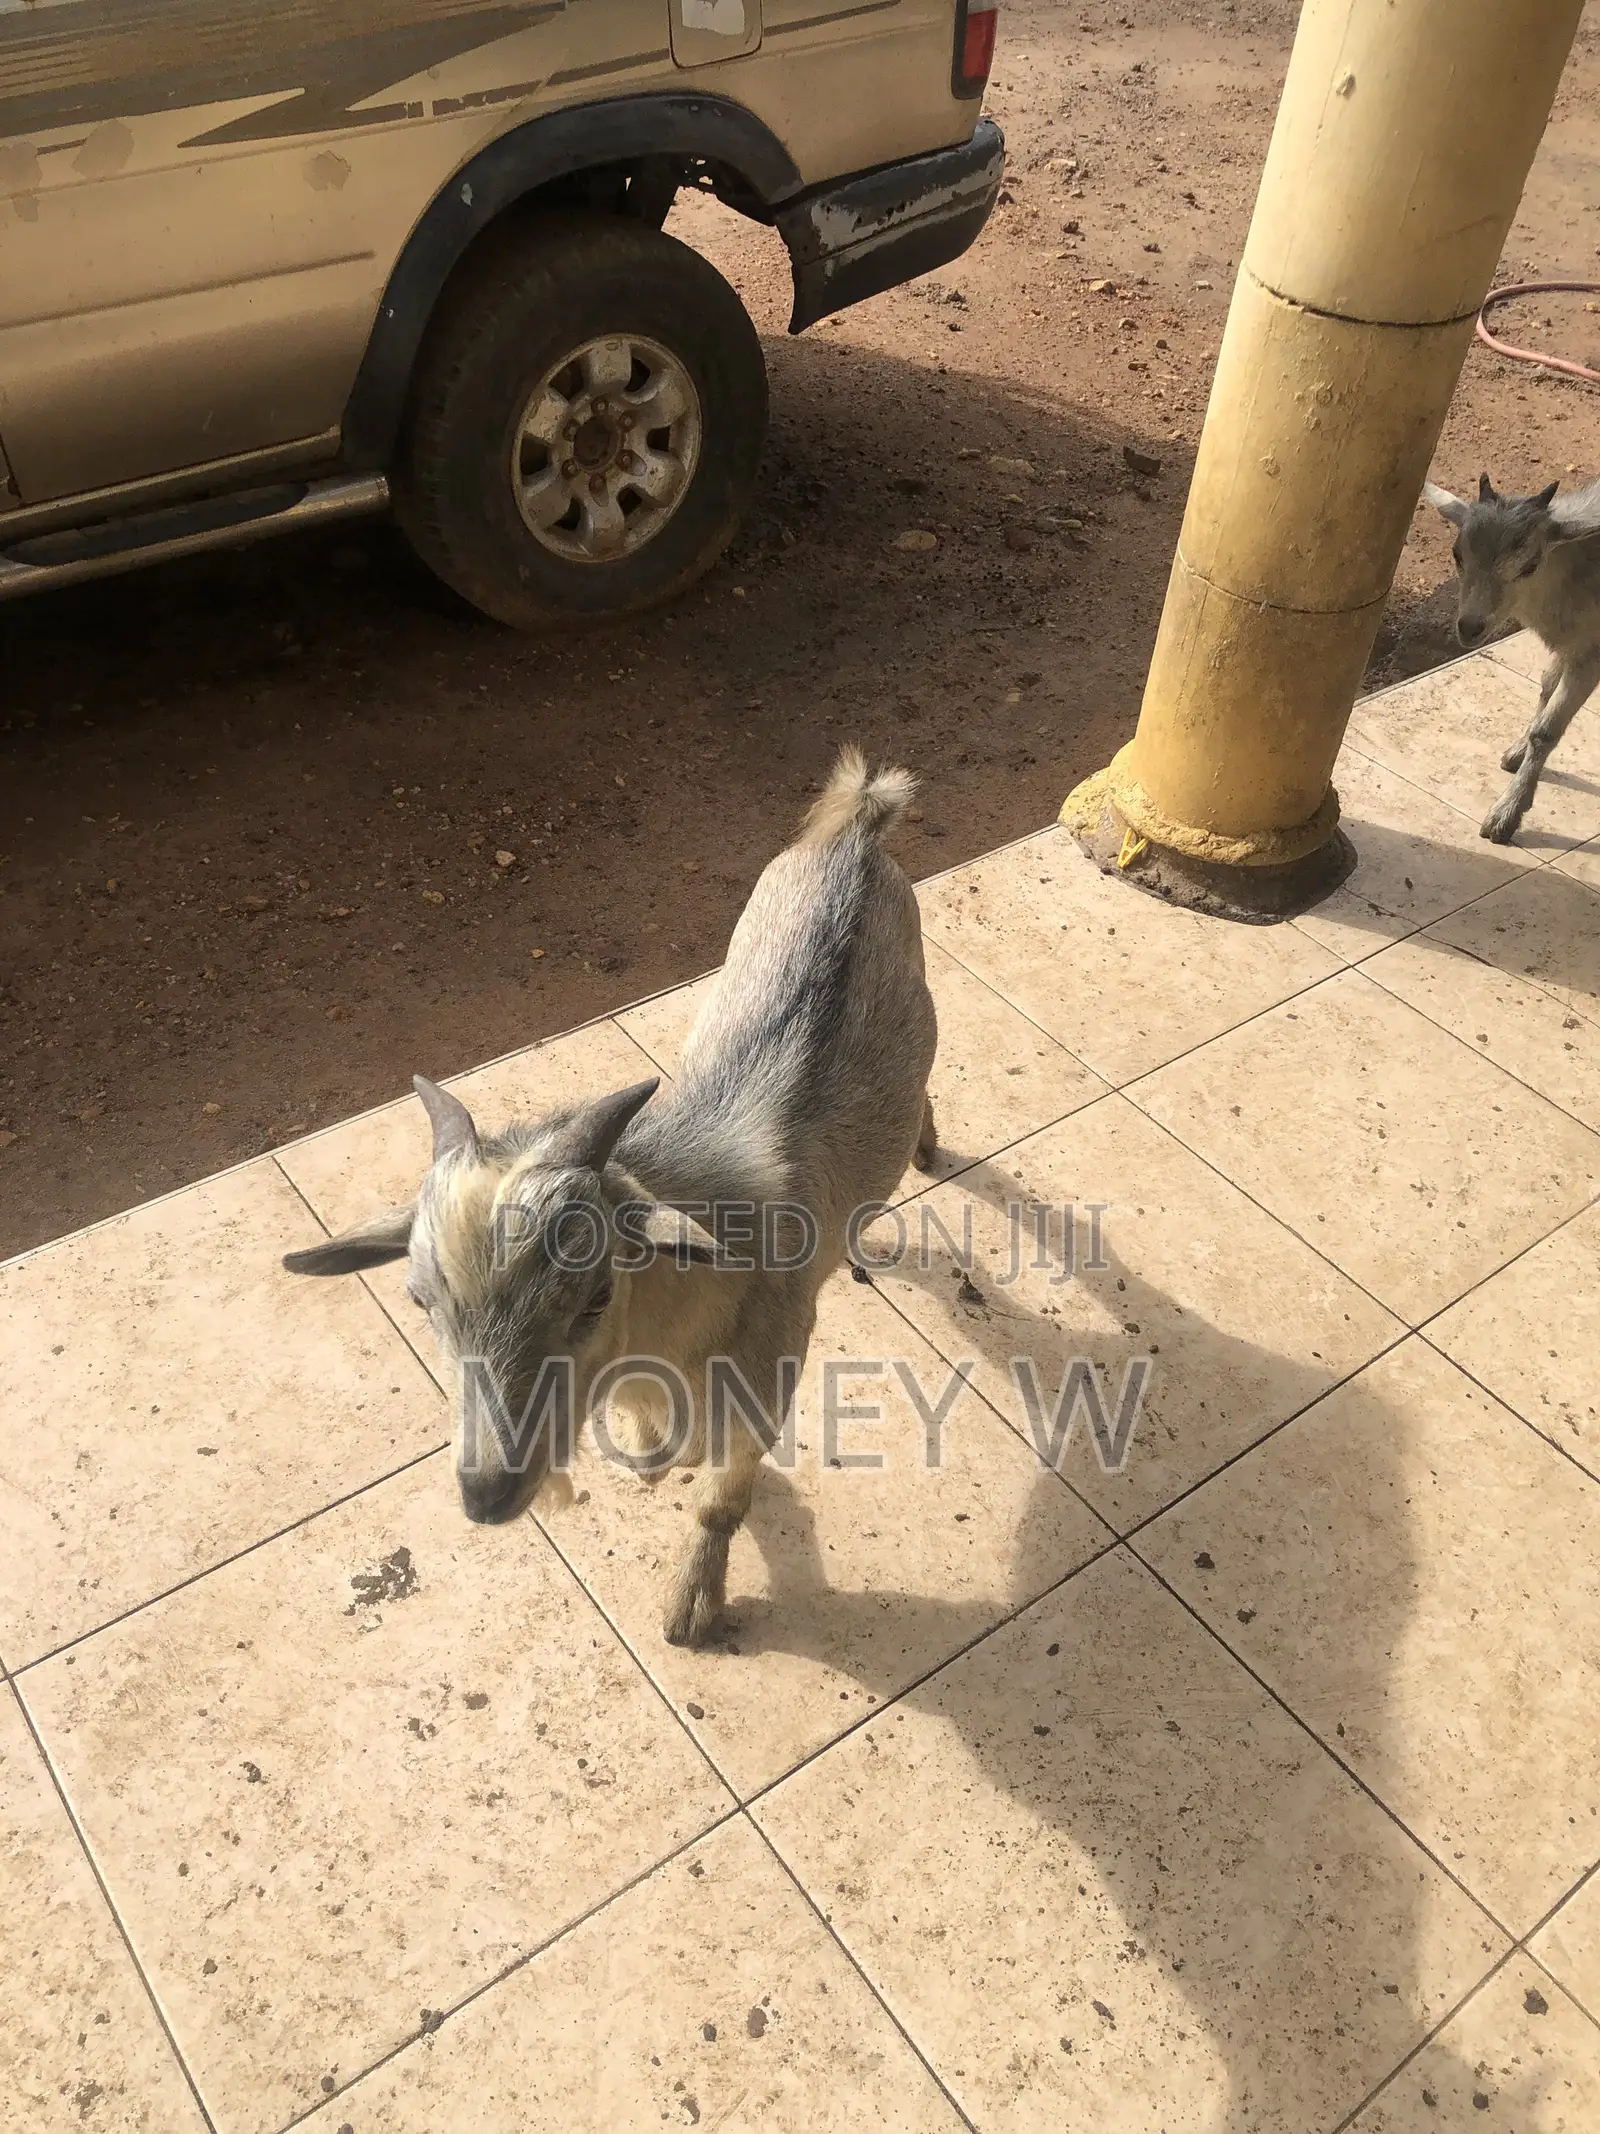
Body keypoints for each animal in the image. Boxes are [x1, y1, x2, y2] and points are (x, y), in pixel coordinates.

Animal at [282, 748, 939, 1647]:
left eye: (594, 1296)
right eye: (420, 1301)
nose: (486, 1495)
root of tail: (859, 831)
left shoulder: (766, 1392)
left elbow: (721, 1504)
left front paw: (692, 1605)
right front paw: (657, 1451)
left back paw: (929, 1146)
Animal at [1425, 471, 1600, 843]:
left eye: (1530, 565)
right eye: (1456, 554)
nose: (1470, 627)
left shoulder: (1591, 653)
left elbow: (1546, 731)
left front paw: (1505, 816)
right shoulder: (1573, 644)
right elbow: (1546, 689)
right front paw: (1517, 753)